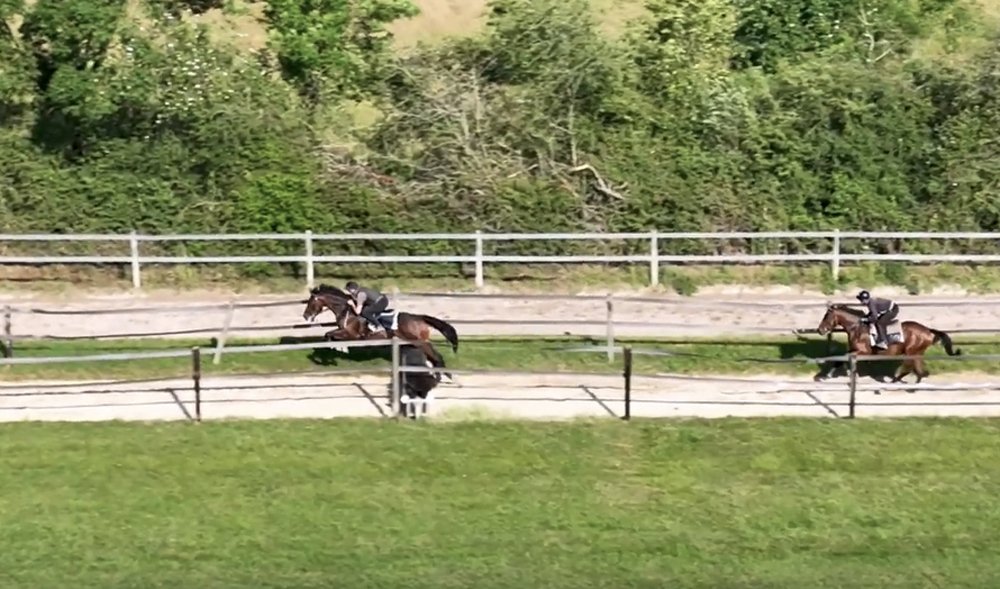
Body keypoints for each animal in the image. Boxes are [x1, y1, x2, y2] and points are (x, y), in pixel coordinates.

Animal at [301, 284, 459, 369]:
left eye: (310, 302)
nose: (305, 316)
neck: (347, 310)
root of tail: (419, 318)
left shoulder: (351, 333)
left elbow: (329, 335)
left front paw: (338, 351)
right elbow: (328, 335)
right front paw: (340, 349)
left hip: (421, 341)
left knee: (437, 357)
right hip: (414, 342)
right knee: (431, 358)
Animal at [815, 304, 961, 384]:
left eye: (826, 316)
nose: (820, 330)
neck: (857, 328)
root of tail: (927, 330)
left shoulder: (864, 352)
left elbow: (842, 358)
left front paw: (825, 376)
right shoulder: (855, 351)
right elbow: (841, 359)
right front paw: (827, 375)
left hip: (911, 351)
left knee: (910, 367)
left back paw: (895, 381)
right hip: (916, 352)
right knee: (919, 370)